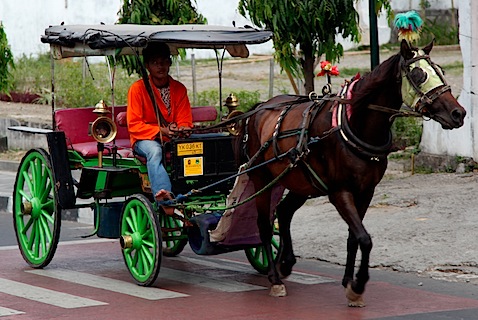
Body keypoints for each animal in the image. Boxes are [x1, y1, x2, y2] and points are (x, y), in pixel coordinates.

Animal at [237, 40, 464, 308]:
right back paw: (274, 278)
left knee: (283, 212)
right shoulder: (340, 192)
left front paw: (348, 281)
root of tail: (259, 108)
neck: (356, 125)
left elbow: (354, 237)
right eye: (419, 75)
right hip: (262, 178)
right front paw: (358, 285)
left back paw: (286, 262)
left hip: (301, 181)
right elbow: (365, 238)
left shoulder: (366, 191)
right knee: (263, 224)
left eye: (441, 71)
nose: (458, 113)